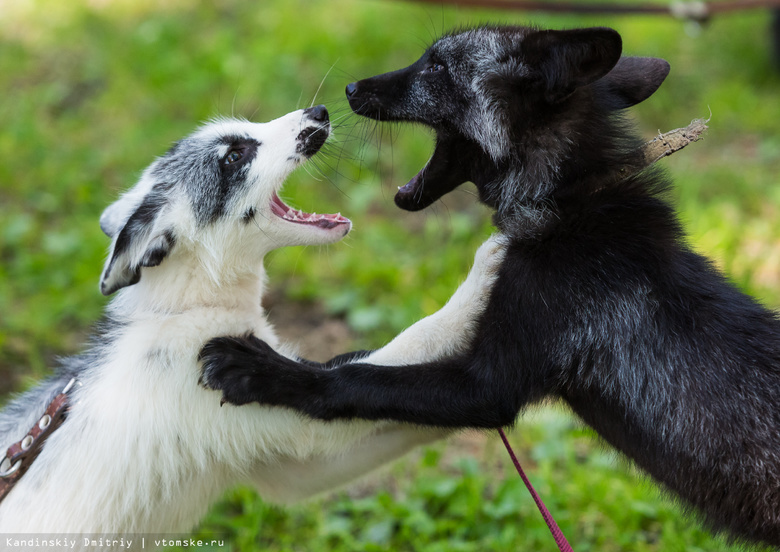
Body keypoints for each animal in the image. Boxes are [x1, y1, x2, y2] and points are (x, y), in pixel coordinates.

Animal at [200, 24, 780, 544]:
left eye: (437, 66)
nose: (347, 90)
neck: (569, 204)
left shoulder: (489, 385)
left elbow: (356, 383)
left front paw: (267, 372)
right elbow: (363, 366)